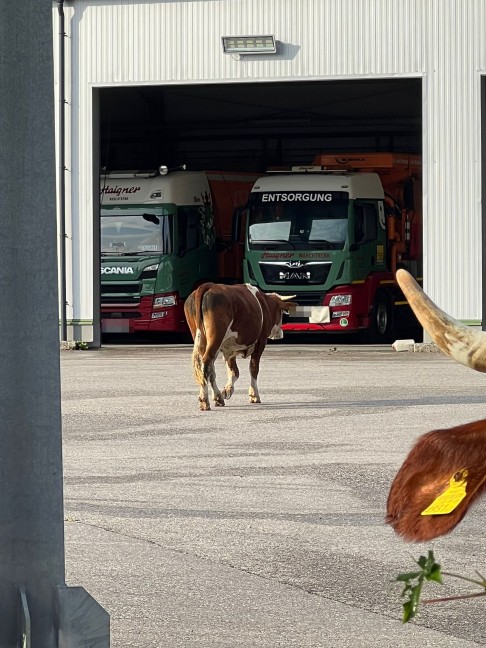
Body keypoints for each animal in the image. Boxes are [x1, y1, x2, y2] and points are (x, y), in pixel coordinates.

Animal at [183, 282, 294, 410]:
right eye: (281, 313)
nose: (280, 333)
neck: (265, 303)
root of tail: (208, 285)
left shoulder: (229, 349)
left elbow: (234, 371)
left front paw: (227, 390)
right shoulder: (260, 343)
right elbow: (254, 368)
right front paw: (254, 395)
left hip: (202, 339)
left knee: (207, 366)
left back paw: (217, 397)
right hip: (215, 337)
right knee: (207, 362)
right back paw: (205, 400)